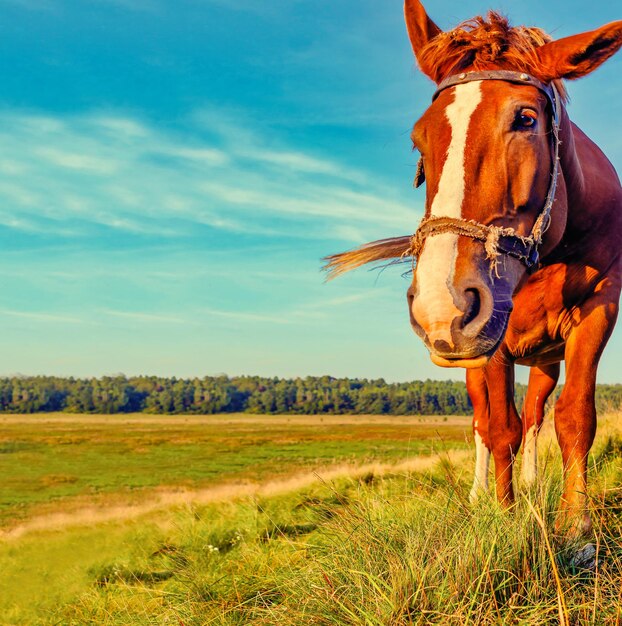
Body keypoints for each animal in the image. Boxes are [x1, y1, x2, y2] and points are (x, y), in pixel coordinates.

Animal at [326, 1, 622, 536]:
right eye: (419, 140)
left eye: (526, 118)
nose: (440, 305)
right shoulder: (491, 337)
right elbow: (500, 426)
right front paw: (503, 518)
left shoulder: (600, 309)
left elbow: (573, 417)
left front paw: (576, 527)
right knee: (484, 421)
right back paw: (480, 491)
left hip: (541, 358)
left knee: (535, 413)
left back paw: (530, 483)